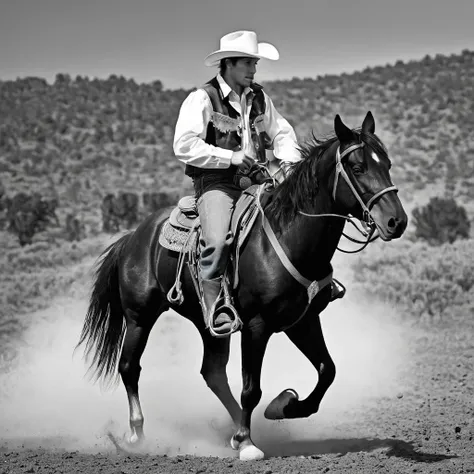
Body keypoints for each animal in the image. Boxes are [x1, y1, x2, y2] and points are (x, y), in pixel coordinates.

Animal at [78, 111, 408, 460]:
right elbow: (252, 388)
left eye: (387, 163)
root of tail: (132, 237)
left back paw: (234, 430)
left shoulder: (303, 320)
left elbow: (326, 370)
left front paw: (284, 406)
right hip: (139, 316)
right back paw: (137, 434)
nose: (396, 221)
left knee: (212, 373)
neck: (289, 237)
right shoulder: (256, 326)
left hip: (208, 323)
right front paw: (249, 443)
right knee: (130, 366)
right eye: (358, 168)